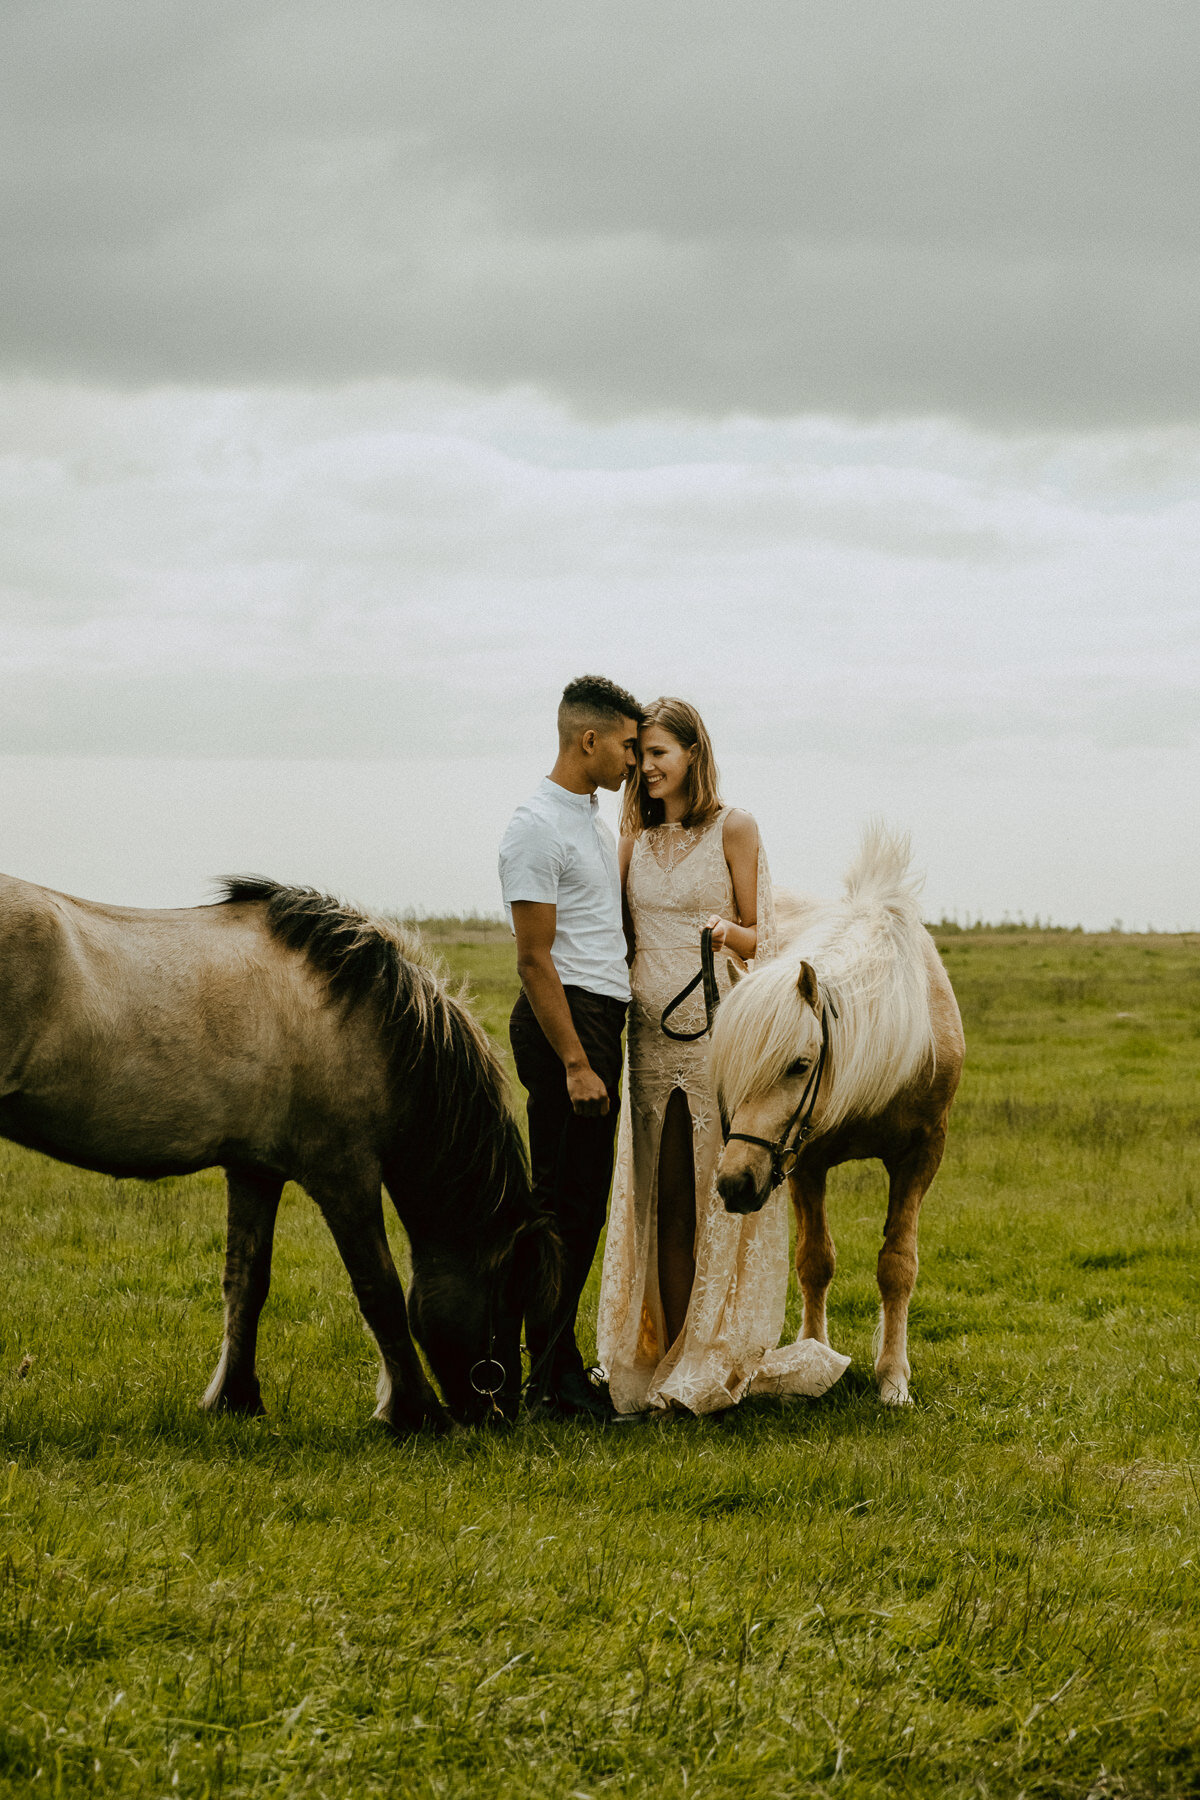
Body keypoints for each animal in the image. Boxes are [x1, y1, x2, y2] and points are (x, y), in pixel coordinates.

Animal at [0, 871, 554, 1432]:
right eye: (510, 1291)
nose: (501, 1412)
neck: (364, 1019)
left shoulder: (253, 1172)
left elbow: (246, 1283)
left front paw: (235, 1399)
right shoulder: (346, 1176)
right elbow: (380, 1290)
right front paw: (415, 1412)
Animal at [712, 828, 964, 1404]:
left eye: (799, 1065)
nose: (734, 1183)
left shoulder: (922, 1155)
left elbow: (898, 1265)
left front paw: (893, 1379)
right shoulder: (805, 1164)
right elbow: (815, 1262)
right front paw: (812, 1357)